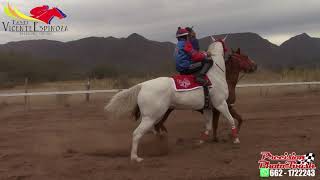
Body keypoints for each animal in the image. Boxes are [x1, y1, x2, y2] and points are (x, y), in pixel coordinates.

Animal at [105, 36, 240, 162]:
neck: (215, 75)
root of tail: (142, 85)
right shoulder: (221, 104)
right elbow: (231, 120)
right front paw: (236, 139)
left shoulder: (208, 107)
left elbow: (208, 126)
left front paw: (200, 142)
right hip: (151, 117)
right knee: (137, 134)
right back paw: (135, 157)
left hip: (154, 116)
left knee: (152, 130)